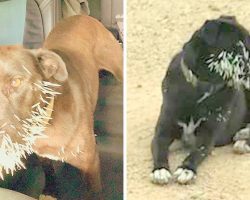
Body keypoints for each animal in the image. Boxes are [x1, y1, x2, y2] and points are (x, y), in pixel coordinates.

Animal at [0, 15, 122, 198]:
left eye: (16, 82)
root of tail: (82, 15)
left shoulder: (90, 165)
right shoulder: (42, 154)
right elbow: (48, 170)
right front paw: (50, 190)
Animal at [151, 15, 250, 184]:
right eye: (237, 47)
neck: (201, 89)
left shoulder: (208, 135)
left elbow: (197, 152)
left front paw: (186, 169)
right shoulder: (162, 130)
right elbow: (159, 149)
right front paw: (160, 170)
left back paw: (243, 139)